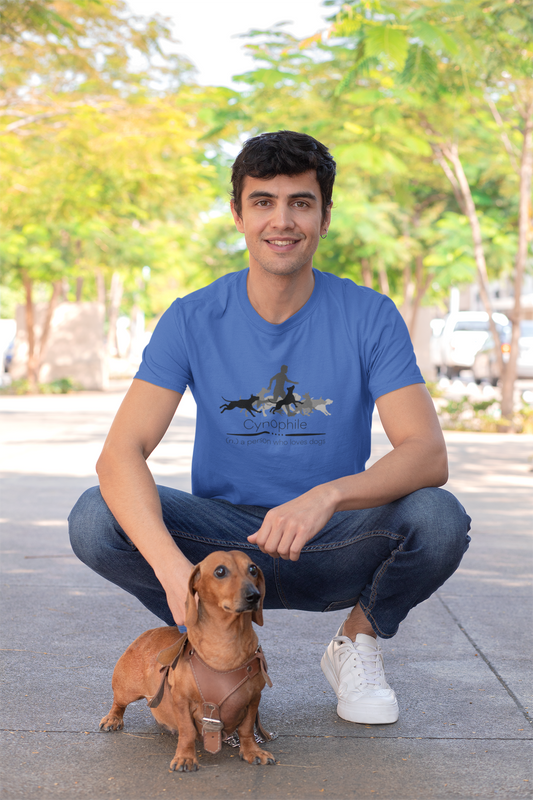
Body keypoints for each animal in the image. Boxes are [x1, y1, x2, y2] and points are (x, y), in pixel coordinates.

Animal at [98, 552, 274, 768]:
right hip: (126, 689)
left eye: (253, 569)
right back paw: (113, 719)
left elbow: (247, 729)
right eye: (220, 571)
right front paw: (185, 757)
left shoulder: (253, 699)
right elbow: (187, 731)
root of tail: (147, 634)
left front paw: (253, 751)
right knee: (119, 702)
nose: (254, 595)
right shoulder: (182, 701)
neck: (227, 644)